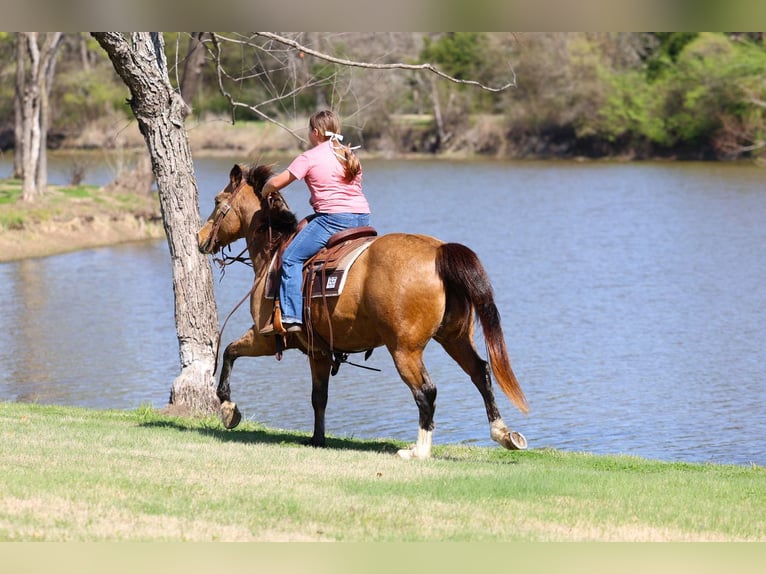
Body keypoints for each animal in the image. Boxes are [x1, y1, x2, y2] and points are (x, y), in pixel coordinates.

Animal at [197, 163, 529, 459]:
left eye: (217, 201)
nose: (201, 238)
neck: (273, 256)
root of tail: (439, 252)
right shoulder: (319, 350)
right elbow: (319, 397)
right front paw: (317, 438)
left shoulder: (267, 336)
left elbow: (229, 351)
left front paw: (228, 409)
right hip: (454, 337)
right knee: (480, 372)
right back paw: (503, 433)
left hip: (405, 349)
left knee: (426, 391)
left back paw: (418, 450)